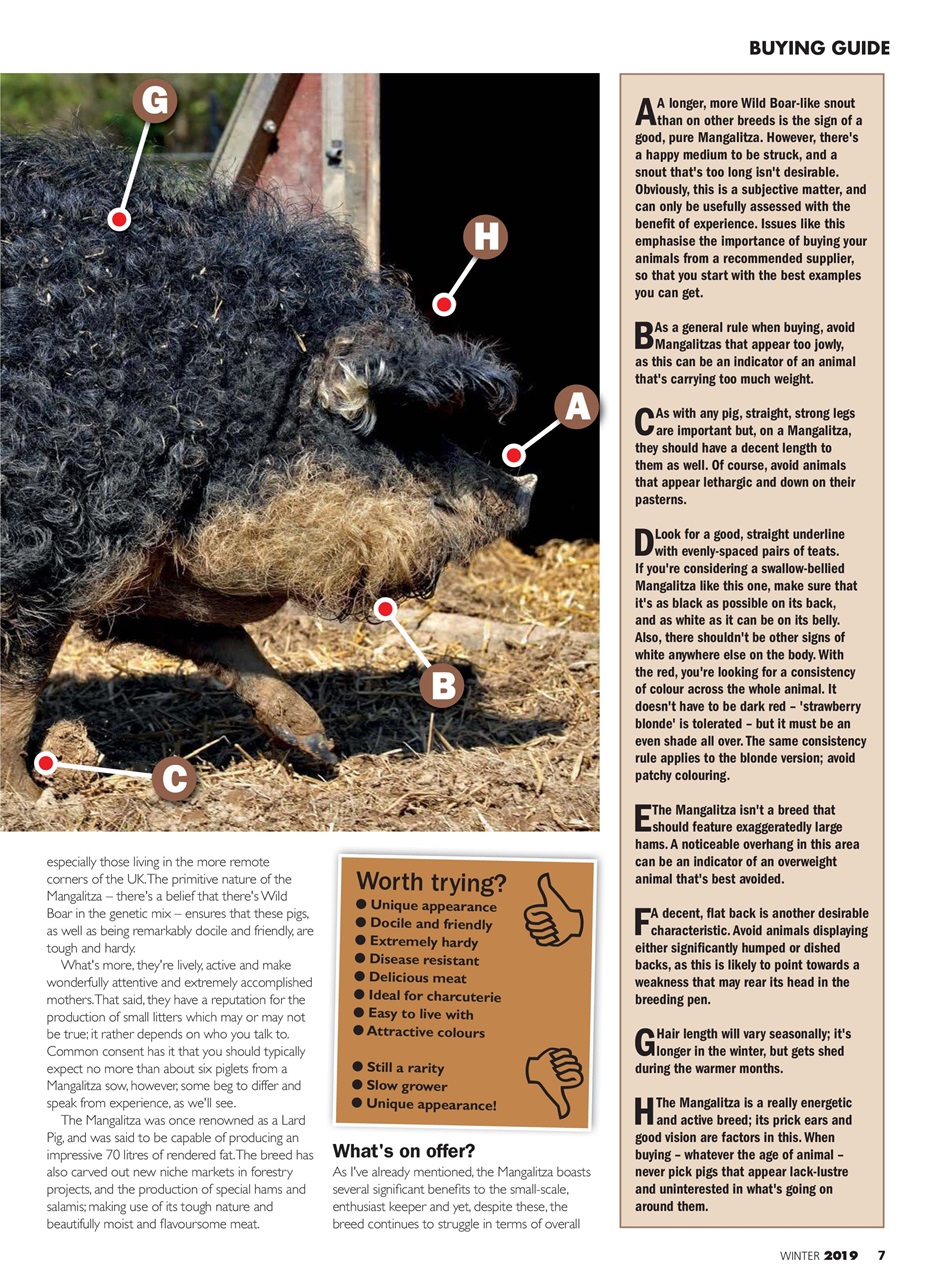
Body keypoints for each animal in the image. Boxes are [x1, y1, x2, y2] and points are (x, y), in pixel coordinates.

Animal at [0, 132, 535, 800]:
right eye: (395, 433)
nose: (524, 492)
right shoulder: (47, 552)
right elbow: (20, 686)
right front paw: (33, 801)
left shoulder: (143, 568)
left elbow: (224, 639)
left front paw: (319, 751)